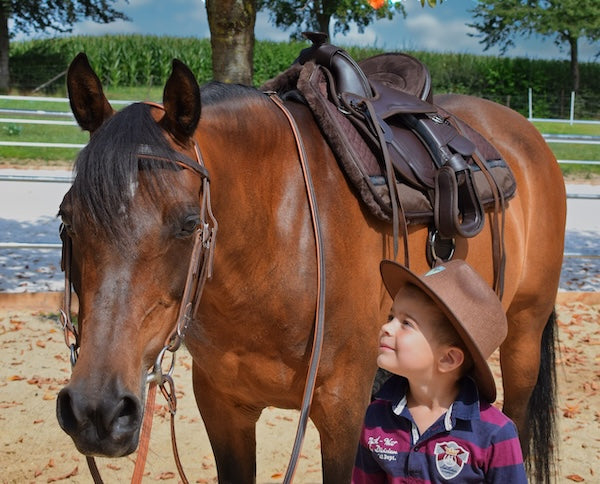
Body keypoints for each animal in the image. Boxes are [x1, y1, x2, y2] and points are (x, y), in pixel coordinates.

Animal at [55, 54, 564, 484]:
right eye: (68, 218)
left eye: (187, 224)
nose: (97, 412)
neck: (277, 239)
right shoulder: (223, 407)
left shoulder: (342, 409)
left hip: (523, 333)